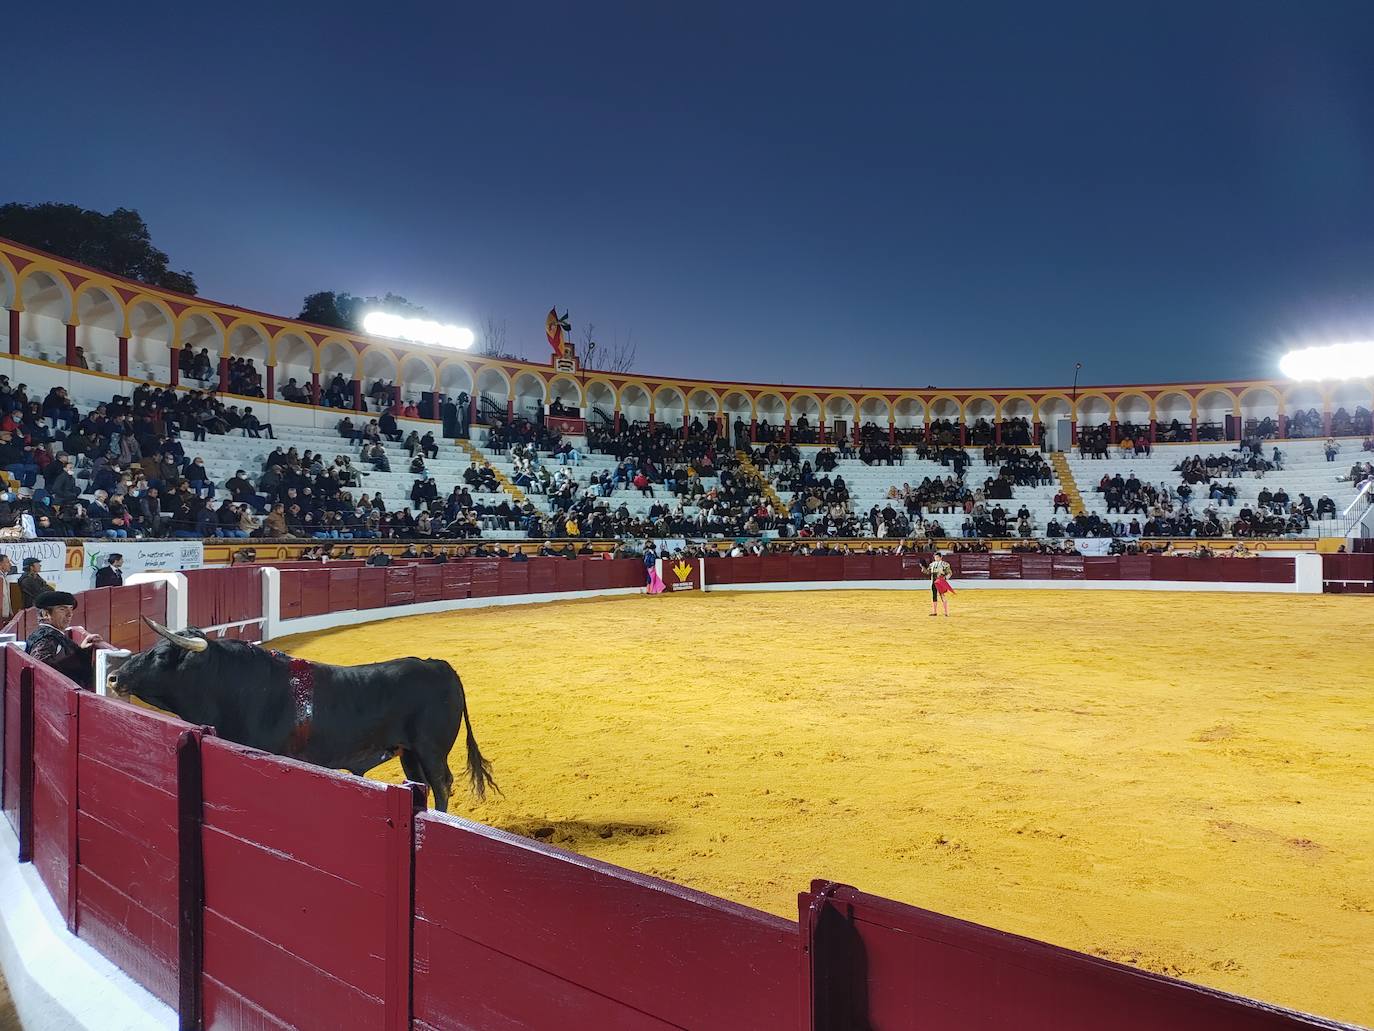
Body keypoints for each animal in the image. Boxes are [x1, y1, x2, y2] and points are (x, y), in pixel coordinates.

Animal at [111, 621, 494, 813]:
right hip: (409, 753)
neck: (234, 685)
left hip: (430, 749)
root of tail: (440, 665)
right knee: (423, 784)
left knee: (442, 783)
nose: (114, 678)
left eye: (162, 655)